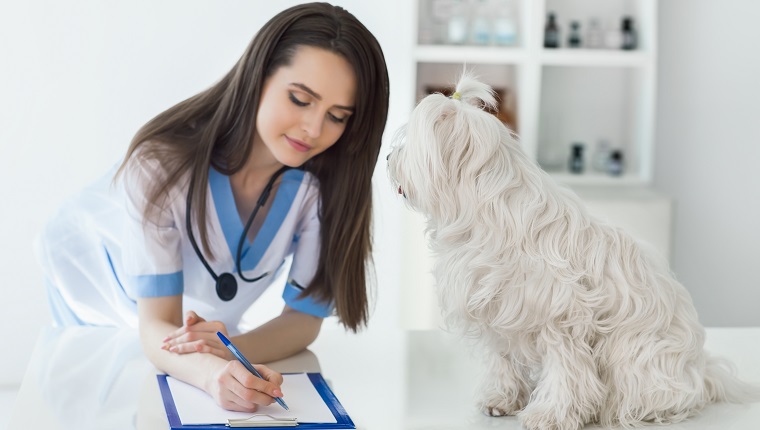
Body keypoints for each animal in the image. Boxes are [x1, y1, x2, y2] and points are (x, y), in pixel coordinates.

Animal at [388, 74, 756, 430]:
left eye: (410, 147)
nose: (389, 157)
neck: (489, 212)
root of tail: (702, 374)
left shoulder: (561, 315)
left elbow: (566, 370)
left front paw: (551, 415)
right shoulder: (498, 312)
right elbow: (502, 359)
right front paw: (502, 398)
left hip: (638, 357)